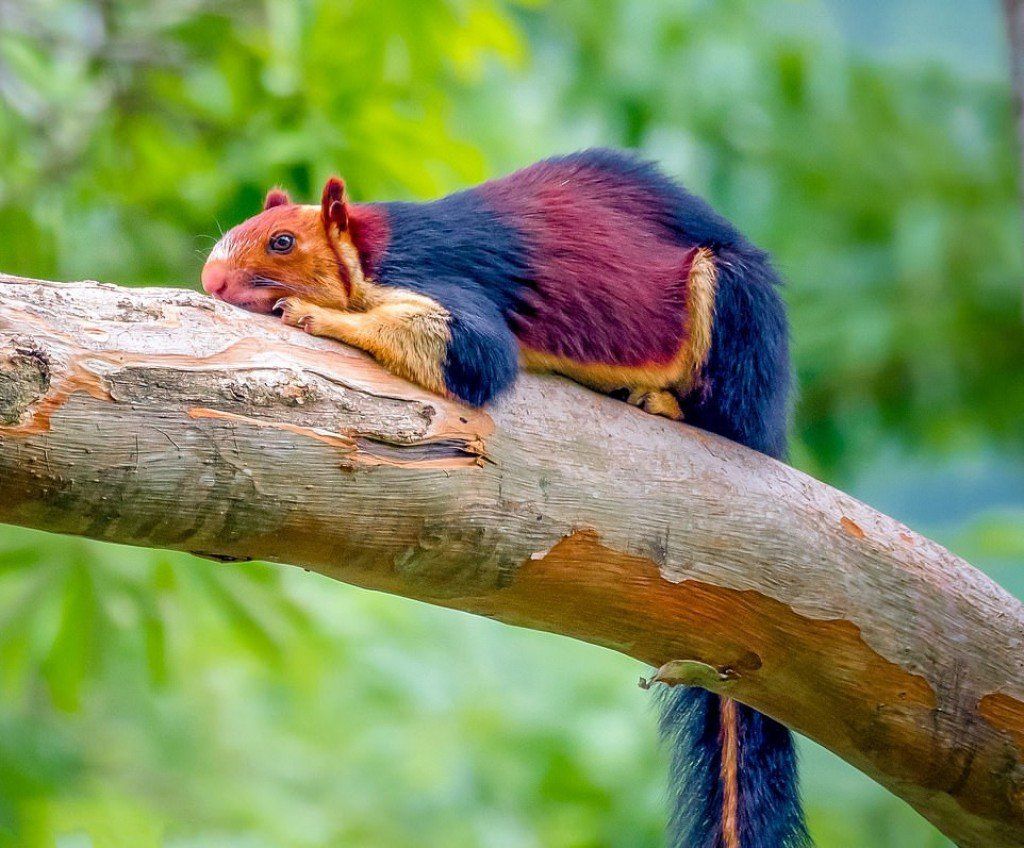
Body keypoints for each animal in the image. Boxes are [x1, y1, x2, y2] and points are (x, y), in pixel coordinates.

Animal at [199, 149, 806, 847]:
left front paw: (313, 315)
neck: (371, 251)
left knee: (729, 417)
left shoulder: (439, 278)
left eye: (282, 241)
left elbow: (472, 349)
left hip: (736, 310)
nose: (210, 278)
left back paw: (668, 404)